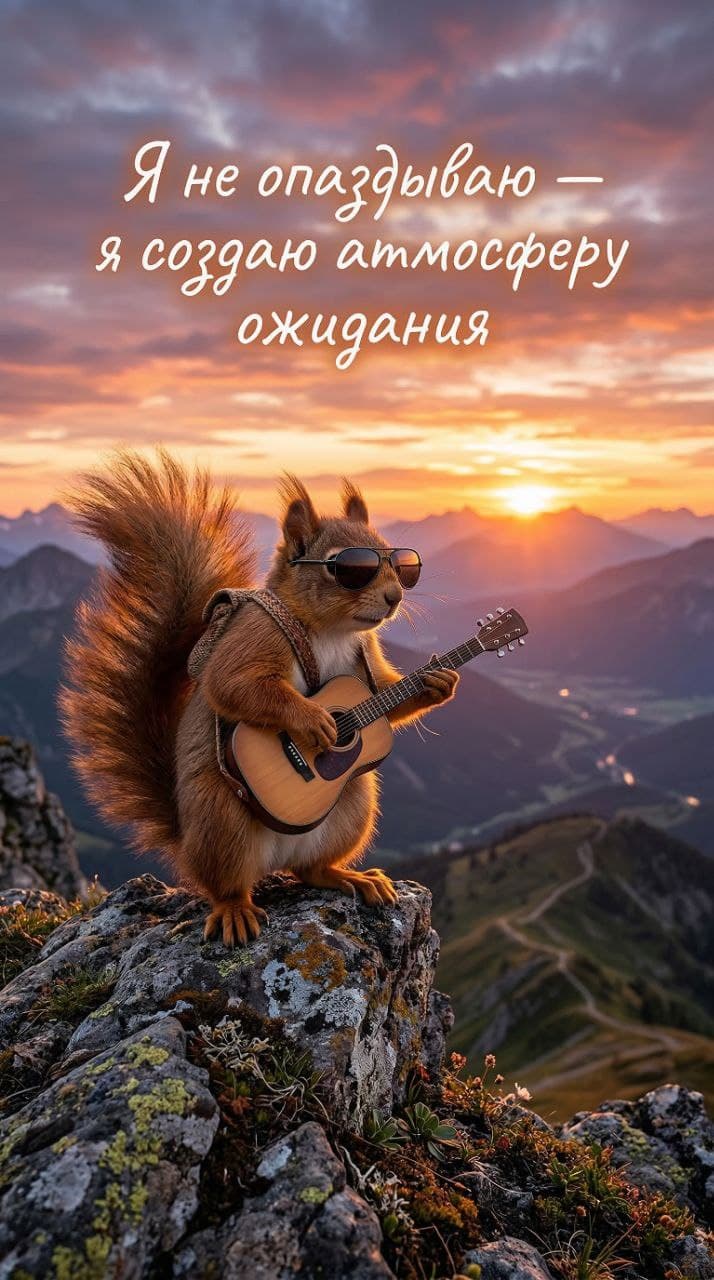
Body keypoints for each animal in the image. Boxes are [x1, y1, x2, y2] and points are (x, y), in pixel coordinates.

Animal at [60, 449, 459, 946]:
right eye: (347, 568)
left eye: (402, 565)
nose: (394, 596)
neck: (331, 631)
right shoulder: (256, 634)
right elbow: (234, 684)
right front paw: (313, 720)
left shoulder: (367, 657)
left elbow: (385, 691)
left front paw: (437, 683)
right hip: (221, 819)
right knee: (226, 884)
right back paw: (235, 911)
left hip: (354, 805)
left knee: (311, 870)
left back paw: (348, 877)